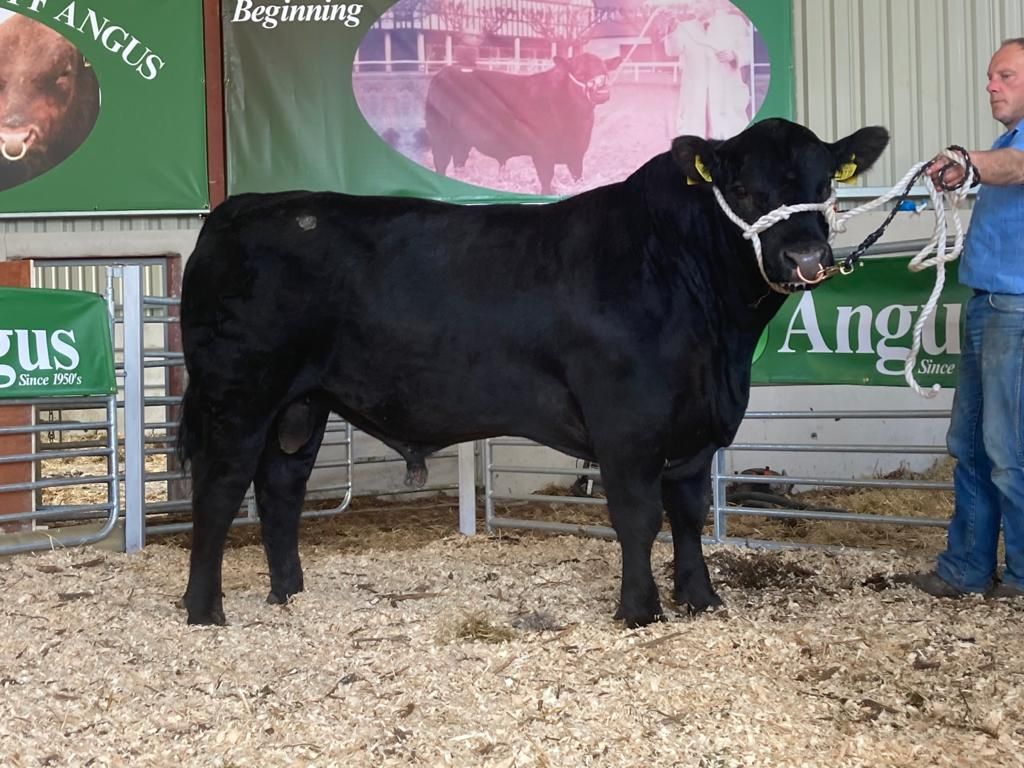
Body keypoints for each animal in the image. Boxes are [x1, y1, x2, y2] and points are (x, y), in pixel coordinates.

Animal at [177, 118, 889, 628]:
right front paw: (639, 610)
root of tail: (237, 209)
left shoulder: (697, 426)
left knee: (281, 486)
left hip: (302, 401)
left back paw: (289, 595)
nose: (805, 256)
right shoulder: (626, 422)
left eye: (824, 184)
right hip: (238, 391)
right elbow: (638, 515)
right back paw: (205, 611)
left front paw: (700, 598)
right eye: (741, 189)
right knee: (220, 487)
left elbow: (688, 512)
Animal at [424, 53, 621, 194]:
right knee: (441, 163)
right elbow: (546, 181)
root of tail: (445, 72)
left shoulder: (577, 154)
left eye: (605, 72)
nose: (602, 93)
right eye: (580, 73)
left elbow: (578, 177)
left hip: (463, 140)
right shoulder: (543, 153)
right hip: (440, 137)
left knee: (459, 162)